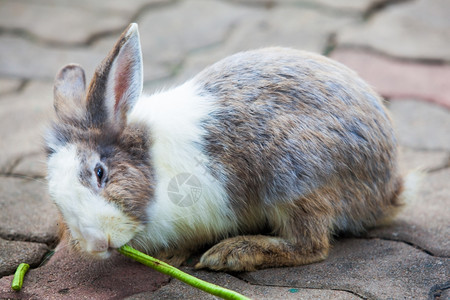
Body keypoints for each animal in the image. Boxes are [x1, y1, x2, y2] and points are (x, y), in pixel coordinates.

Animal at [45, 23, 404, 272]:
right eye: (54, 196)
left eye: (99, 172)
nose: (94, 243)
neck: (153, 165)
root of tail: (389, 186)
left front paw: (170, 255)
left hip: (296, 183)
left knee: (312, 245)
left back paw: (231, 254)